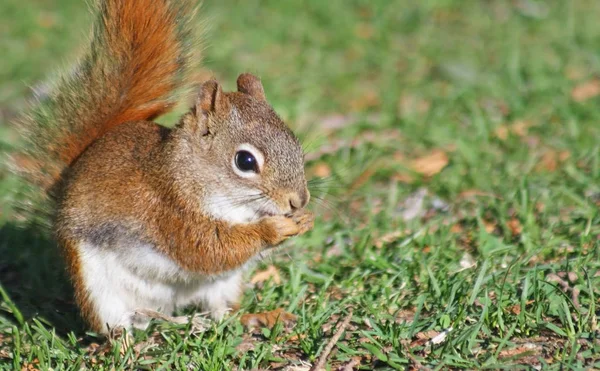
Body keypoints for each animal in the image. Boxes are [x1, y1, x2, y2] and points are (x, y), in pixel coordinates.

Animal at [12, 0, 314, 336]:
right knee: (113, 326)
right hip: (97, 288)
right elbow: (209, 249)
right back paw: (124, 341)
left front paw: (304, 220)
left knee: (224, 313)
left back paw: (259, 317)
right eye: (245, 161)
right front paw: (272, 229)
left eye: (295, 142)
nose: (298, 200)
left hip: (223, 286)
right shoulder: (167, 211)